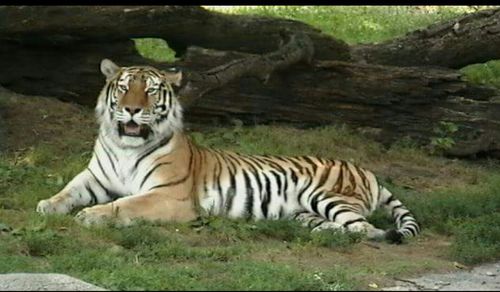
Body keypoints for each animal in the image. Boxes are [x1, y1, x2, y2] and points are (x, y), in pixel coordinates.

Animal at [36, 58, 418, 243]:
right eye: (125, 87)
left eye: (151, 91)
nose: (131, 109)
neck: (126, 147)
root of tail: (368, 171)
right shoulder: (94, 177)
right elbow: (67, 192)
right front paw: (47, 206)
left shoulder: (168, 196)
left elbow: (125, 205)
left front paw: (91, 216)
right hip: (303, 211)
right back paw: (317, 232)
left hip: (328, 196)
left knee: (365, 229)